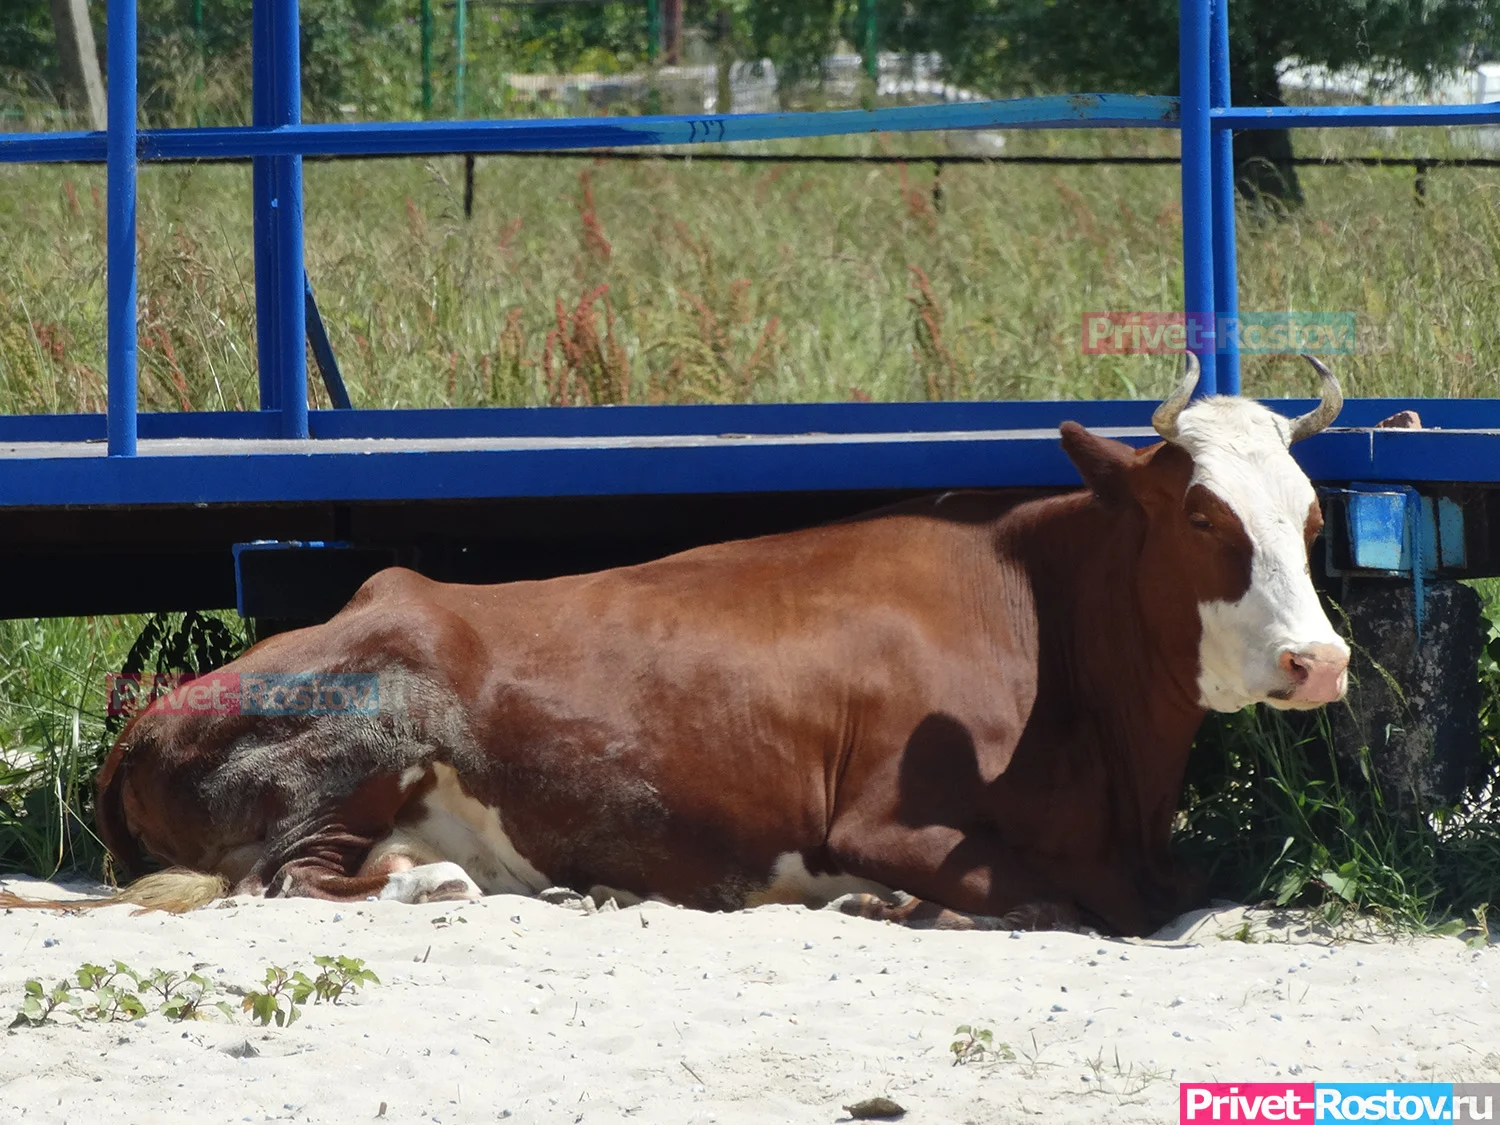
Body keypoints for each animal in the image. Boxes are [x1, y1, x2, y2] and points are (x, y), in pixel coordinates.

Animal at [2, 357, 1350, 936]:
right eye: (1201, 517)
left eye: (1312, 517)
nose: (1320, 662)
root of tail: (151, 712)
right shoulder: (886, 819)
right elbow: (1040, 896)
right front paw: (888, 902)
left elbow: (1192, 894)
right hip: (363, 728)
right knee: (286, 880)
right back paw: (456, 883)